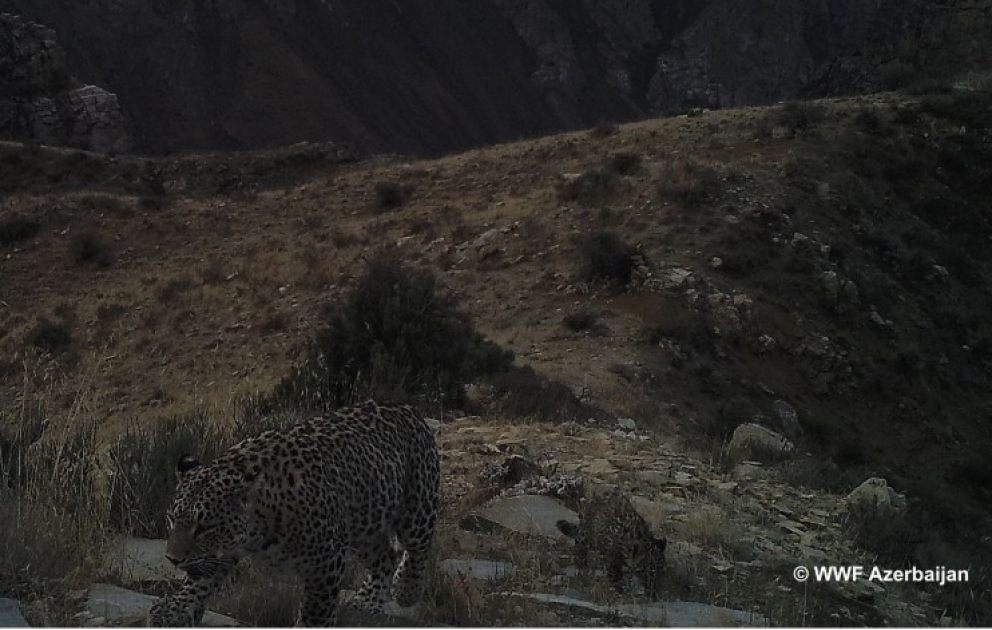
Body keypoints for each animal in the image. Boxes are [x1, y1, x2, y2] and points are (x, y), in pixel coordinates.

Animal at [147, 400, 440, 627]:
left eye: (204, 527)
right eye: (172, 519)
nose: (172, 559)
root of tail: (405, 408)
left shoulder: (326, 560)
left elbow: (316, 610)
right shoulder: (221, 551)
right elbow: (199, 581)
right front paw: (174, 611)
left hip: (416, 505)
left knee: (417, 547)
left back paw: (405, 590)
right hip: (364, 522)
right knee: (385, 556)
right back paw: (368, 601)